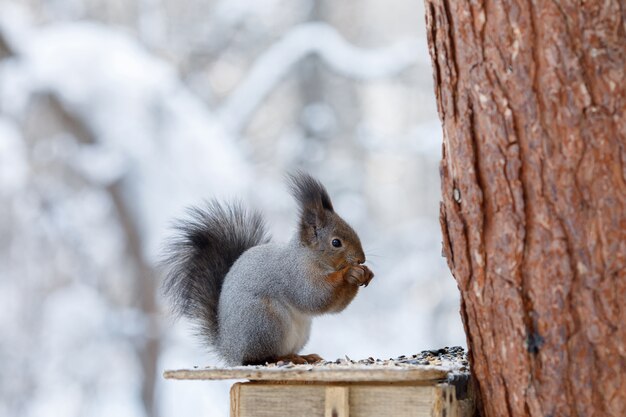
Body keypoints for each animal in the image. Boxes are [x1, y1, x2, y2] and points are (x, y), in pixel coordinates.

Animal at [163, 171, 372, 364]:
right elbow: (316, 297)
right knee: (263, 357)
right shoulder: (294, 275)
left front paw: (366, 273)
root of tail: (230, 350)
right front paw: (349, 273)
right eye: (336, 242)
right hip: (266, 323)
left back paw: (305, 356)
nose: (361, 259)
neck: (308, 256)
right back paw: (288, 358)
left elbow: (335, 305)